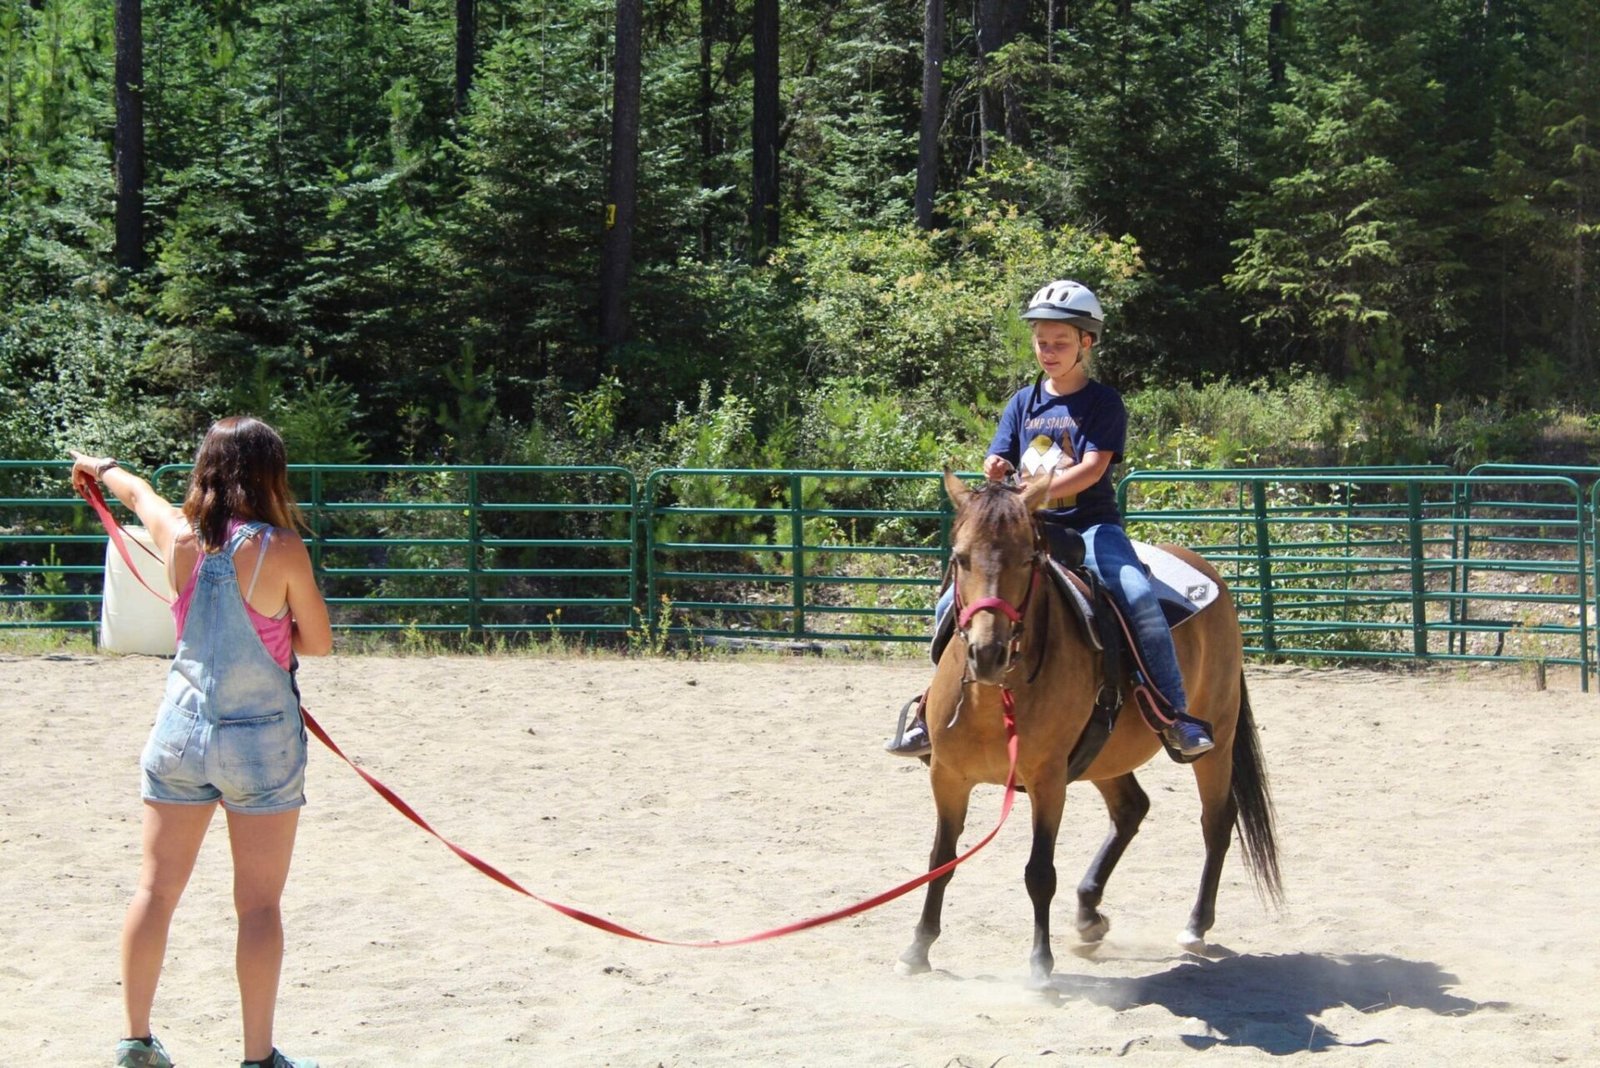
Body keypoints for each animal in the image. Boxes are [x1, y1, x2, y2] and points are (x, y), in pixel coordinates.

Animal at [898, 470, 1282, 986]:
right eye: (960, 558)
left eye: (1028, 558)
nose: (987, 652)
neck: (996, 700)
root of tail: (1207, 572)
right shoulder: (948, 777)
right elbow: (941, 861)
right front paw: (918, 948)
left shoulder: (1047, 781)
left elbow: (1039, 873)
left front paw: (1040, 968)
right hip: (1105, 756)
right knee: (1131, 810)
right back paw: (1088, 914)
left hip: (1215, 742)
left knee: (1216, 822)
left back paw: (1194, 925)